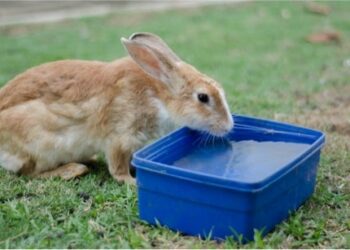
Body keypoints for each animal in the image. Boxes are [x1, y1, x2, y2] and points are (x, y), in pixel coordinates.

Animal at [0, 32, 235, 185]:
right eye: (203, 97)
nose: (228, 127)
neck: (158, 96)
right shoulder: (119, 137)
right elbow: (117, 167)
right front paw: (130, 180)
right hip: (37, 143)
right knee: (30, 172)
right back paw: (73, 170)